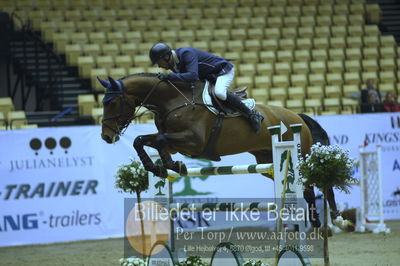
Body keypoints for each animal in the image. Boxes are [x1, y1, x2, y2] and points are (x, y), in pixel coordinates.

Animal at [100, 72, 350, 229]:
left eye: (111, 103)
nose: (106, 136)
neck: (172, 101)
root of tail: (297, 116)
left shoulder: (194, 142)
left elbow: (159, 141)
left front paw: (173, 166)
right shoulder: (175, 142)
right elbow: (141, 141)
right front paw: (158, 168)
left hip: (298, 153)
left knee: (319, 184)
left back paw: (334, 220)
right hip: (268, 161)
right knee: (305, 188)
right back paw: (316, 221)